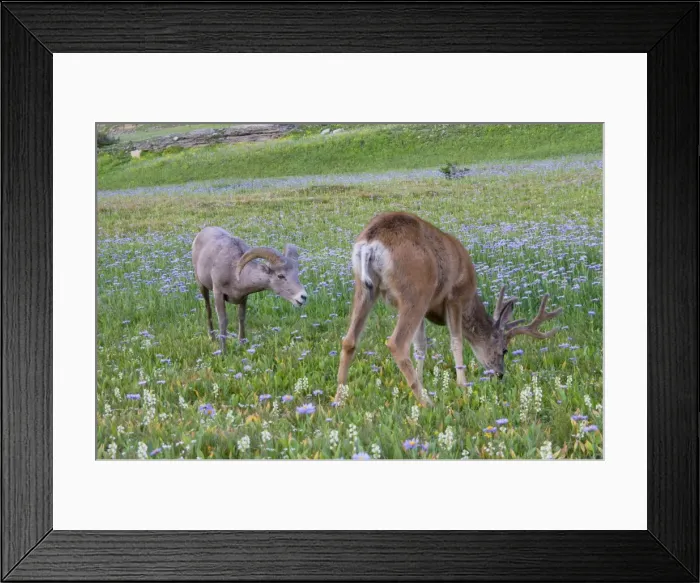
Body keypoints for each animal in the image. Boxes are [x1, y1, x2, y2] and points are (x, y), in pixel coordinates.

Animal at [335, 212, 562, 406]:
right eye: (504, 350)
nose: (499, 374)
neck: (470, 299)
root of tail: (370, 242)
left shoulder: (428, 310)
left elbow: (421, 347)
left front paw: (422, 379)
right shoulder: (455, 296)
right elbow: (456, 341)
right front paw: (462, 385)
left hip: (364, 288)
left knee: (349, 340)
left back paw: (339, 400)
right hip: (416, 290)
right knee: (396, 343)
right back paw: (427, 402)